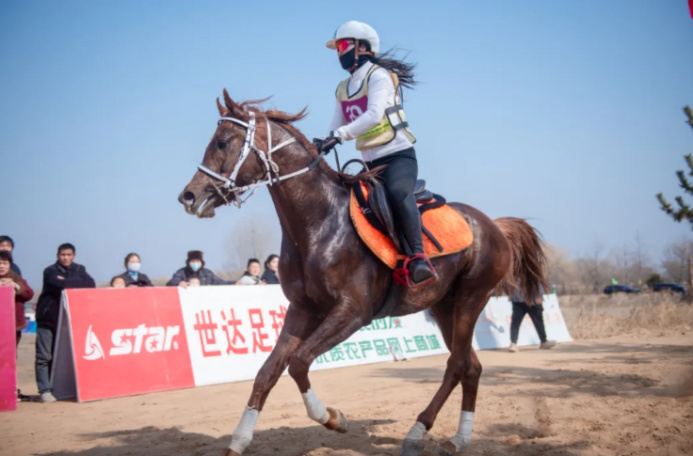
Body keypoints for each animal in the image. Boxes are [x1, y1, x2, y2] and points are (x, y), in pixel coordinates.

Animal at [177, 90, 548, 456]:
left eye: (223, 142)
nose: (188, 196)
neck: (320, 223)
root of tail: (494, 225)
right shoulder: (302, 310)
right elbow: (268, 372)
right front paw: (238, 442)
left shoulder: (353, 312)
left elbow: (298, 362)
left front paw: (333, 418)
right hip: (445, 307)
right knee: (471, 366)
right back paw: (458, 438)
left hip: (472, 297)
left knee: (456, 365)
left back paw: (417, 432)